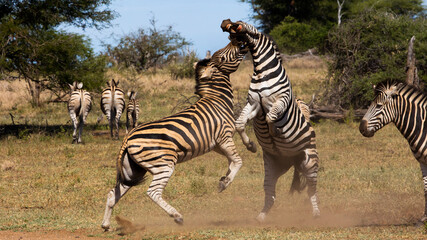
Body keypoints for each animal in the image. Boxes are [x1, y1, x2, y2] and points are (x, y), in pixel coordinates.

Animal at [101, 41, 247, 231]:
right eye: (222, 56)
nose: (239, 42)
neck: (217, 99)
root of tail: (127, 138)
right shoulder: (224, 136)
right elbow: (238, 161)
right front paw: (224, 183)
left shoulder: (216, 144)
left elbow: (231, 161)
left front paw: (225, 177)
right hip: (164, 164)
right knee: (153, 192)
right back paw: (177, 216)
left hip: (133, 171)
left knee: (113, 194)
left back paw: (105, 225)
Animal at [221, 19, 320, 222]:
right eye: (232, 39)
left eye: (237, 40)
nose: (226, 24)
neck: (261, 71)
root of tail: (293, 160)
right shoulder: (253, 104)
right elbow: (240, 124)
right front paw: (251, 145)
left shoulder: (281, 100)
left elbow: (271, 117)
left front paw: (275, 131)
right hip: (275, 166)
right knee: (270, 192)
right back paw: (261, 217)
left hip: (310, 162)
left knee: (312, 189)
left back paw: (316, 214)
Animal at [362, 81, 427, 222]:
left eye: (379, 106)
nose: (361, 128)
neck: (423, 127)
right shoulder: (422, 161)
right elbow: (426, 188)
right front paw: (424, 218)